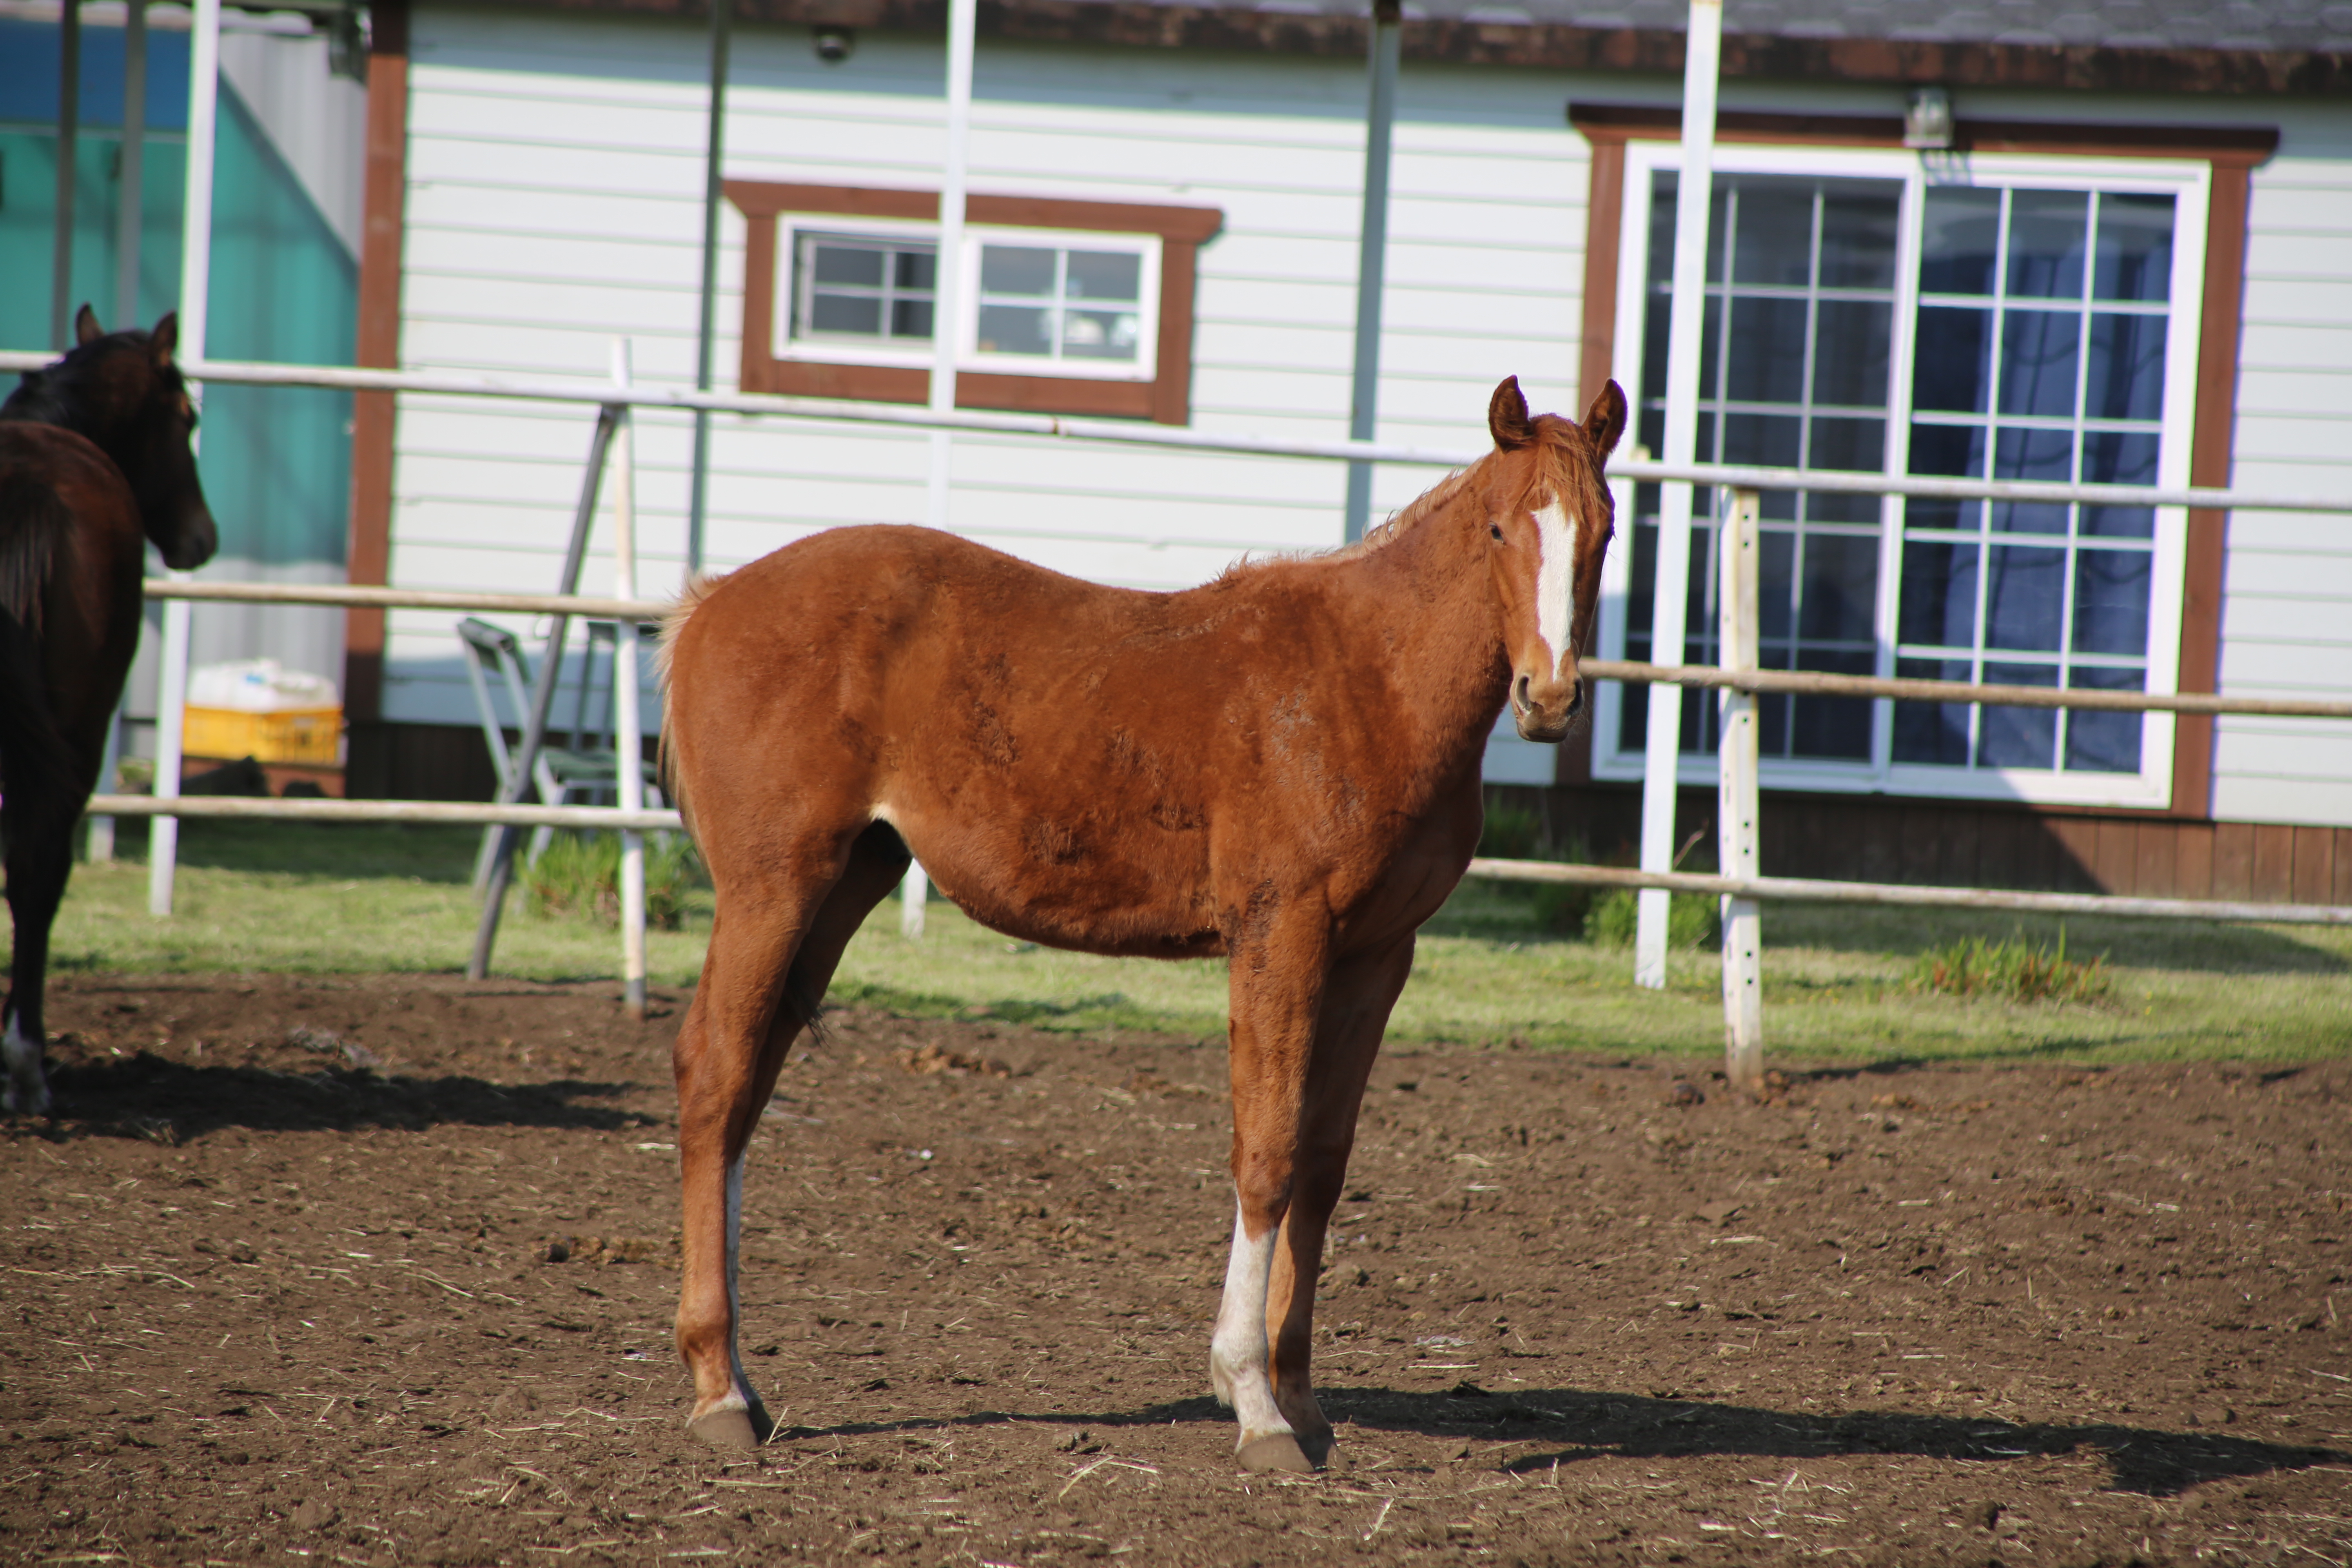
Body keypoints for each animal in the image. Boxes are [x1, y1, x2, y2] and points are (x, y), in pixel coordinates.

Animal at [654, 376, 1627, 1476]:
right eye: (1501, 527)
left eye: (1603, 531)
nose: (1548, 699)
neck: (1365, 681)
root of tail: (707, 606)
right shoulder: (1280, 935)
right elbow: (1267, 1151)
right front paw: (1253, 1401)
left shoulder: (1377, 956)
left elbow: (1323, 1164)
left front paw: (1301, 1400)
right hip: (772, 889)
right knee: (715, 1076)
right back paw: (718, 1388)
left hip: (842, 885)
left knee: (746, 1090)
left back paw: (743, 1379)